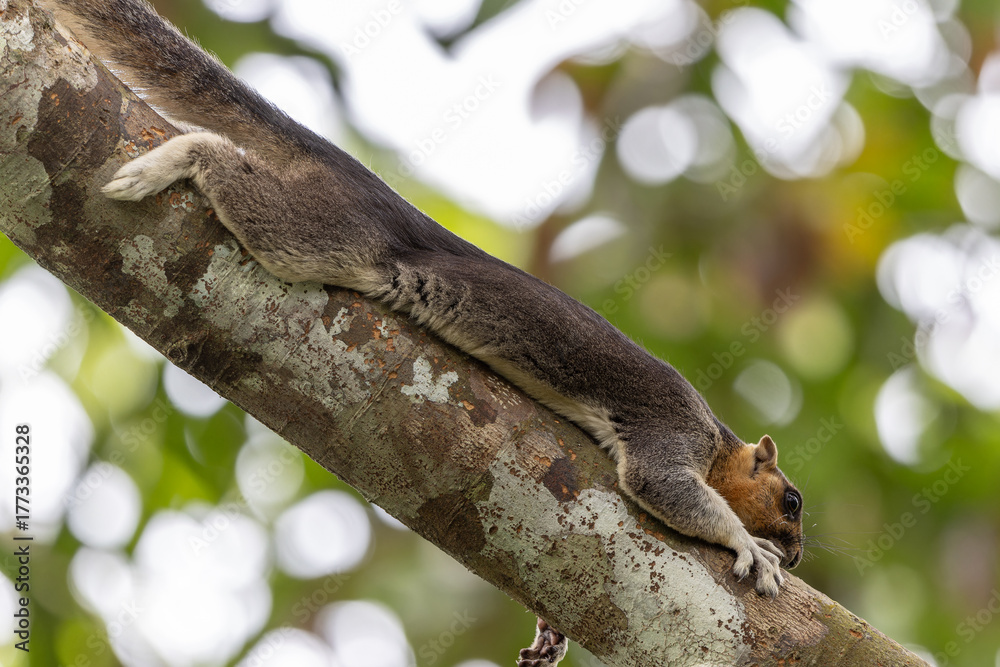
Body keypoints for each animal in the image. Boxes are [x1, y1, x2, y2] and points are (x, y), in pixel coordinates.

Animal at [37, 1, 805, 664]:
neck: (719, 445)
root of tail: (373, 192)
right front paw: (748, 544)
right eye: (791, 502)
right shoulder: (671, 426)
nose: (798, 552)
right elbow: (661, 484)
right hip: (328, 237)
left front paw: (551, 631)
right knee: (232, 173)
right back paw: (178, 158)